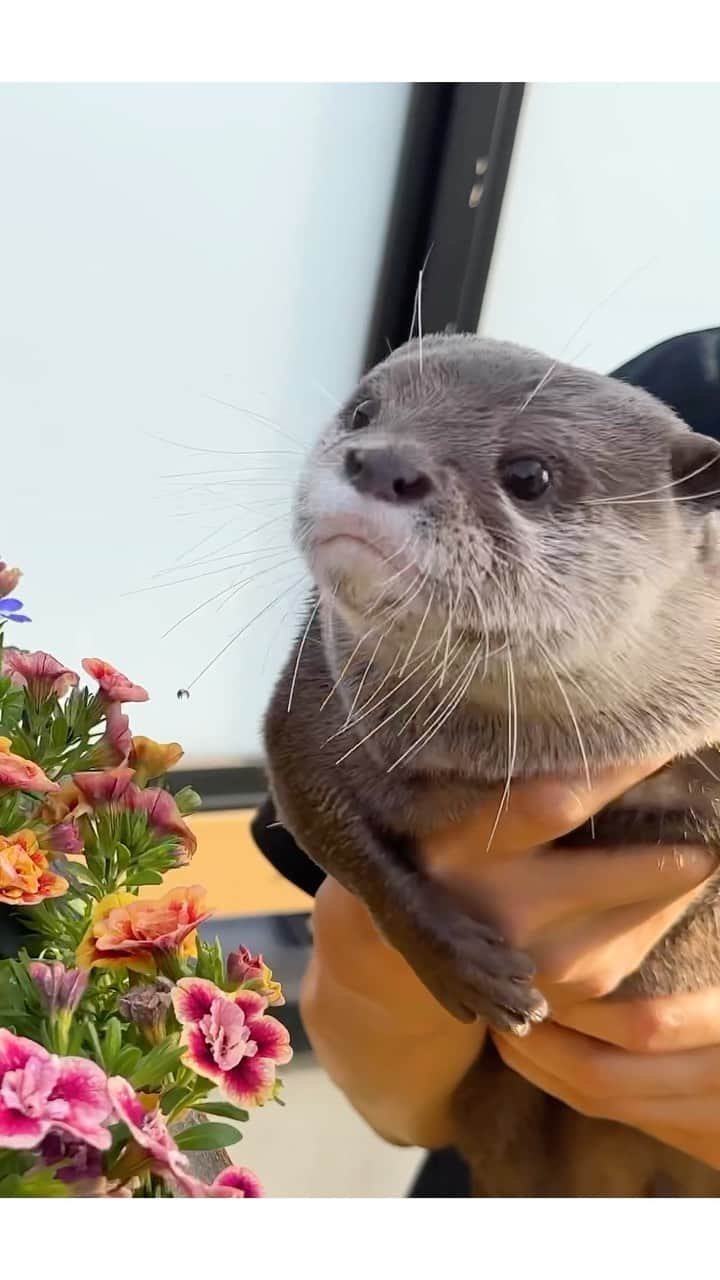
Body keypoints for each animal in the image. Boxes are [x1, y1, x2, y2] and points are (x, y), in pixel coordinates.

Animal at [263, 335, 720, 1192]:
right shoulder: (306, 708)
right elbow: (330, 828)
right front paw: (460, 963)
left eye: (530, 474)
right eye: (364, 410)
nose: (382, 461)